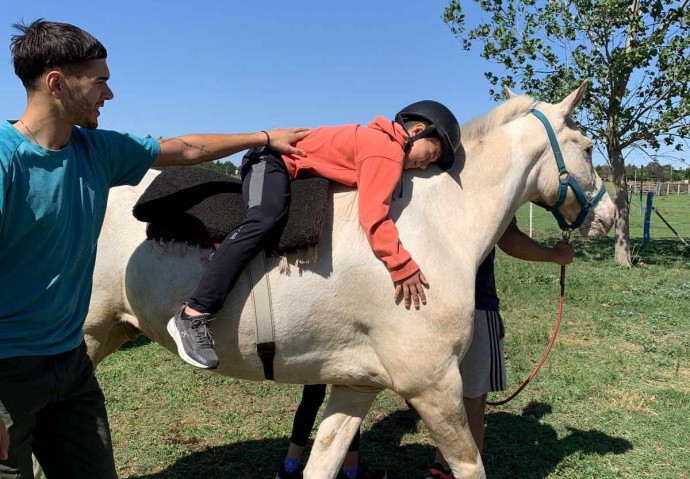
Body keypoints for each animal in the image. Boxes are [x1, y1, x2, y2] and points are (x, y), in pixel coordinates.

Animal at [80, 84, 612, 478]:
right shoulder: (434, 385)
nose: (606, 216)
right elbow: (470, 466)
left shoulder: (356, 385)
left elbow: (323, 462)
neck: (436, 224)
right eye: (588, 149)